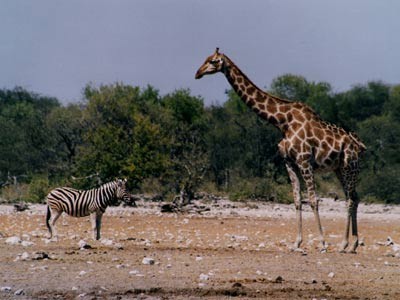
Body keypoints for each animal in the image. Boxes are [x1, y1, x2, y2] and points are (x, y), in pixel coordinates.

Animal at [195, 47, 368, 253]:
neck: (282, 122)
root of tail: (360, 146)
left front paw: (322, 243)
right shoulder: (289, 162)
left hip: (350, 166)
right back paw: (353, 244)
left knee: (349, 199)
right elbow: (297, 199)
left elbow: (313, 199)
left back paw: (343, 244)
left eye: (213, 61)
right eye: (205, 59)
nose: (197, 73)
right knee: (355, 197)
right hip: (339, 169)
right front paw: (297, 242)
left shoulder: (304, 160)